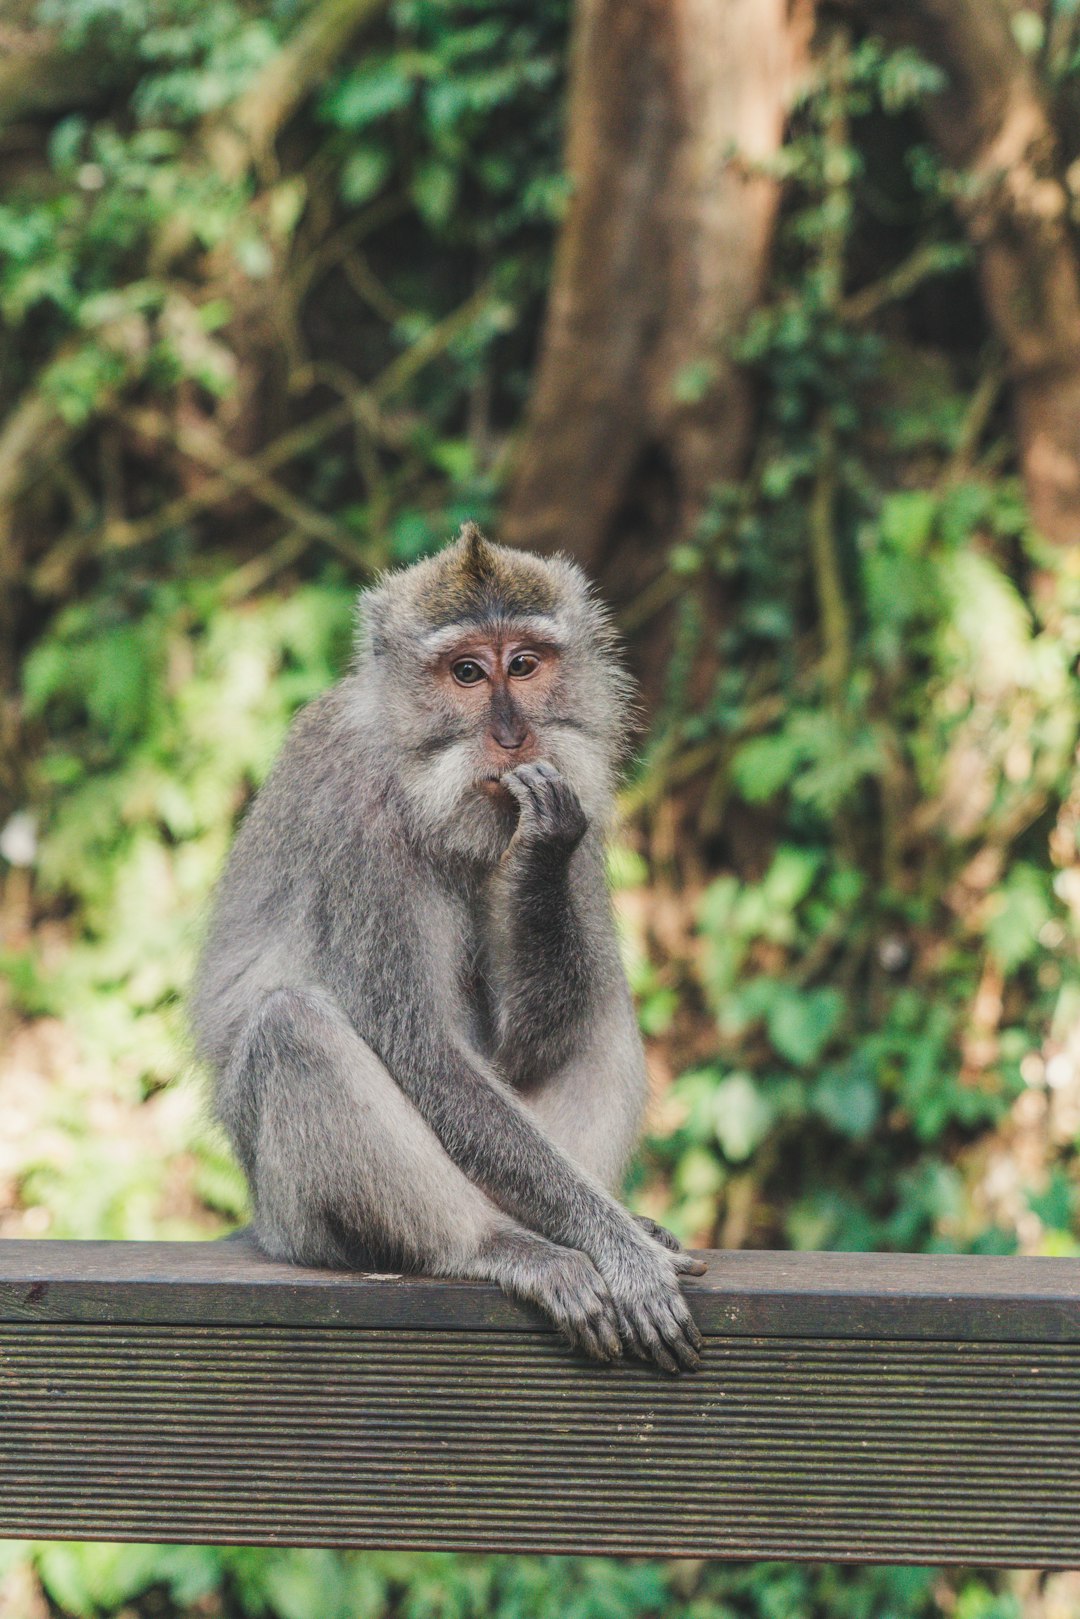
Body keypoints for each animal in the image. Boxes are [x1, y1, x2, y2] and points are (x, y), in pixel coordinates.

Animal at [190, 524, 705, 1372]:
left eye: (524, 663)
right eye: (466, 671)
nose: (512, 736)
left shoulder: (583, 797)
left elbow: (520, 1044)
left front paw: (540, 849)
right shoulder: (358, 822)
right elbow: (424, 1048)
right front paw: (619, 1251)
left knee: (601, 1005)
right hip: (298, 1220)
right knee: (293, 1028)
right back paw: (501, 1243)